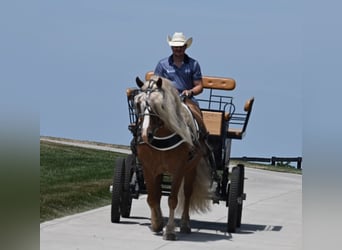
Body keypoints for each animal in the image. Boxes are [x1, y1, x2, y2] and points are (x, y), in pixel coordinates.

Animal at [133, 75, 211, 240]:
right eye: (137, 104)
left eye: (160, 106)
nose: (145, 135)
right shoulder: (148, 167)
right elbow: (152, 197)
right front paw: (156, 223)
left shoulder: (179, 169)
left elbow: (172, 200)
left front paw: (169, 230)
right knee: (158, 193)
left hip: (191, 168)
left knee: (187, 194)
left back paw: (185, 224)